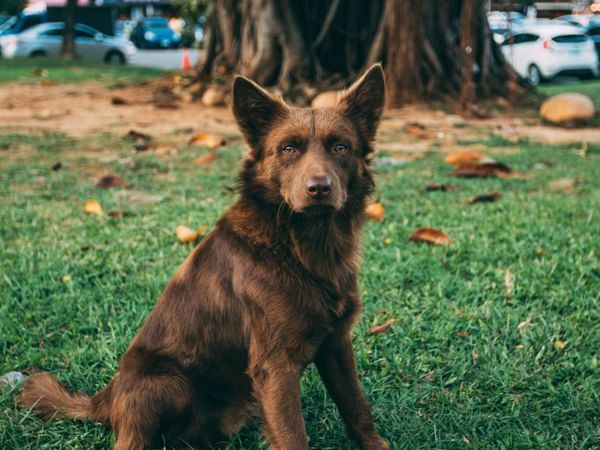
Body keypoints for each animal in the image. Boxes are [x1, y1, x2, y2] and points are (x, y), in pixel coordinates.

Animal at [18, 64, 392, 450]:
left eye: (340, 146)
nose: (319, 188)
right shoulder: (275, 365)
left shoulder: (336, 346)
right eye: (288, 148)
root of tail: (105, 398)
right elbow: (292, 435)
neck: (305, 245)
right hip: (165, 383)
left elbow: (356, 407)